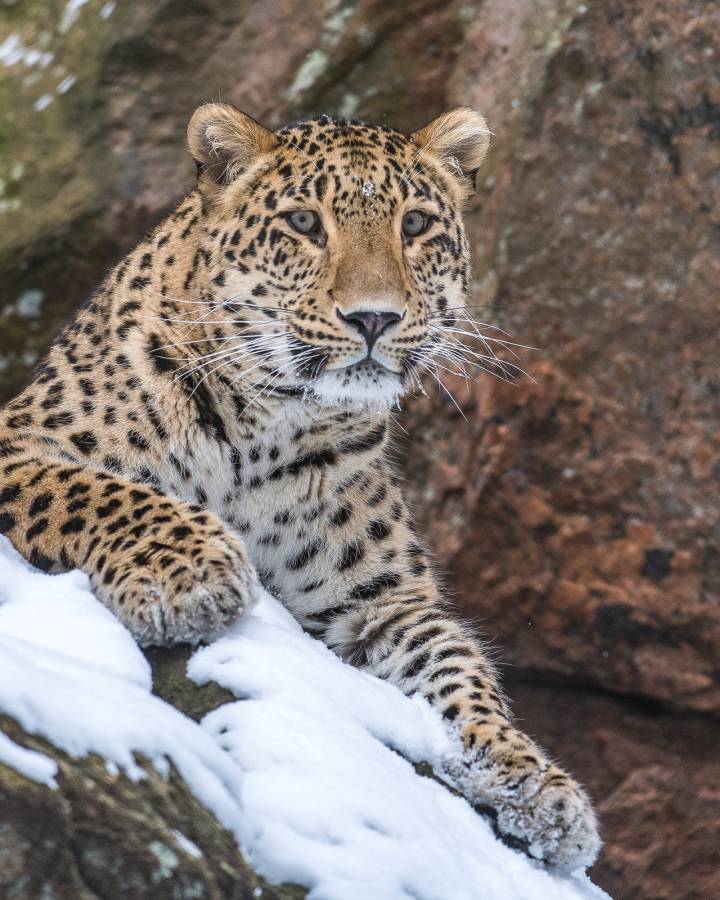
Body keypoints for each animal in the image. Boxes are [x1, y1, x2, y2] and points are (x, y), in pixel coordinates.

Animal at [0, 102, 600, 870]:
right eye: (305, 224)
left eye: (415, 225)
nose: (374, 317)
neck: (271, 424)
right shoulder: (19, 449)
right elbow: (98, 491)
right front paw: (190, 573)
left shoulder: (377, 604)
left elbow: (458, 667)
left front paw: (535, 782)